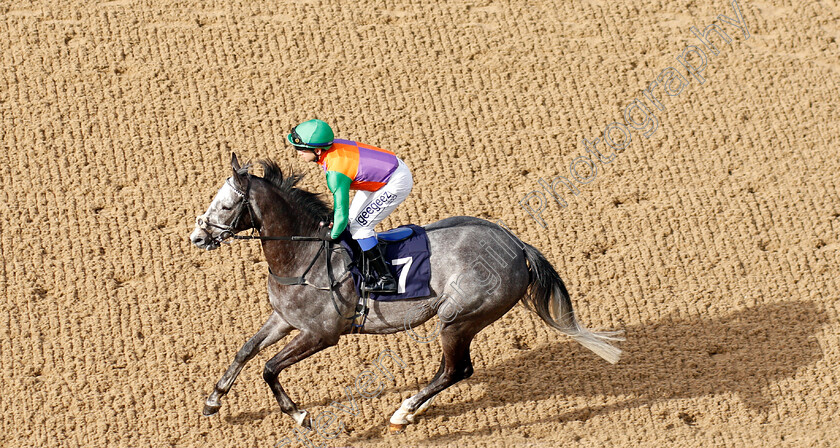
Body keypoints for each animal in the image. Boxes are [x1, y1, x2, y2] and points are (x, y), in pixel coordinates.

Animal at [192, 155, 624, 434]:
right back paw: (417, 407)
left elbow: (269, 367)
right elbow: (246, 351)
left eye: (226, 205)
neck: (301, 255)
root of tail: (518, 247)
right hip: (461, 321)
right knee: (452, 370)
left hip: (459, 318)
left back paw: (403, 412)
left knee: (456, 369)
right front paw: (213, 401)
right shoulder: (285, 319)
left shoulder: (321, 334)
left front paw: (299, 415)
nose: (197, 236)